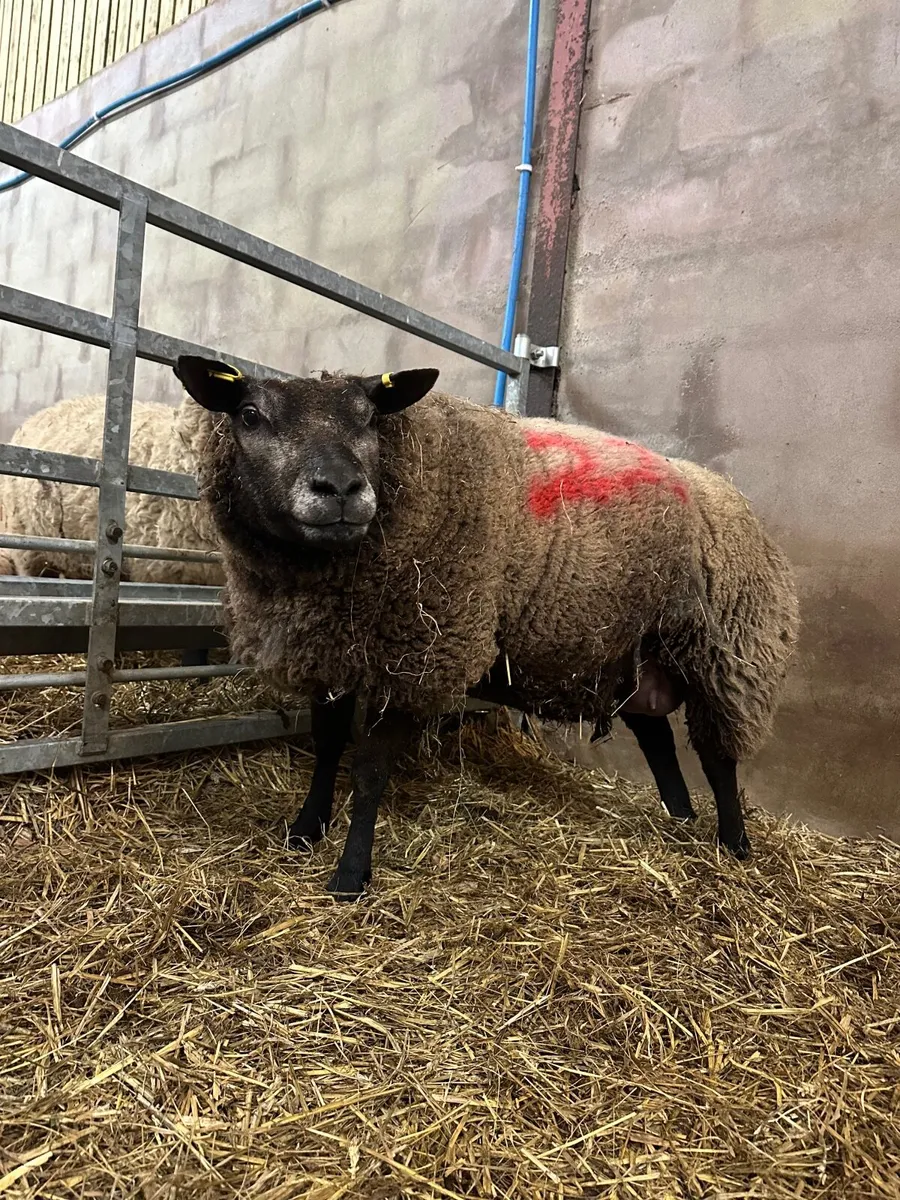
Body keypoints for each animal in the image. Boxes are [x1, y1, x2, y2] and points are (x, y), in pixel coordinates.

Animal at [174, 355, 800, 898]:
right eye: (249, 415)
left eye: (371, 415)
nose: (342, 490)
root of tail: (736, 500)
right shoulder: (331, 651)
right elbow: (327, 747)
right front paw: (305, 829)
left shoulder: (421, 655)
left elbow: (370, 770)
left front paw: (351, 874)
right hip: (634, 654)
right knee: (659, 739)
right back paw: (679, 821)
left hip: (727, 653)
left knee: (718, 757)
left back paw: (733, 844)